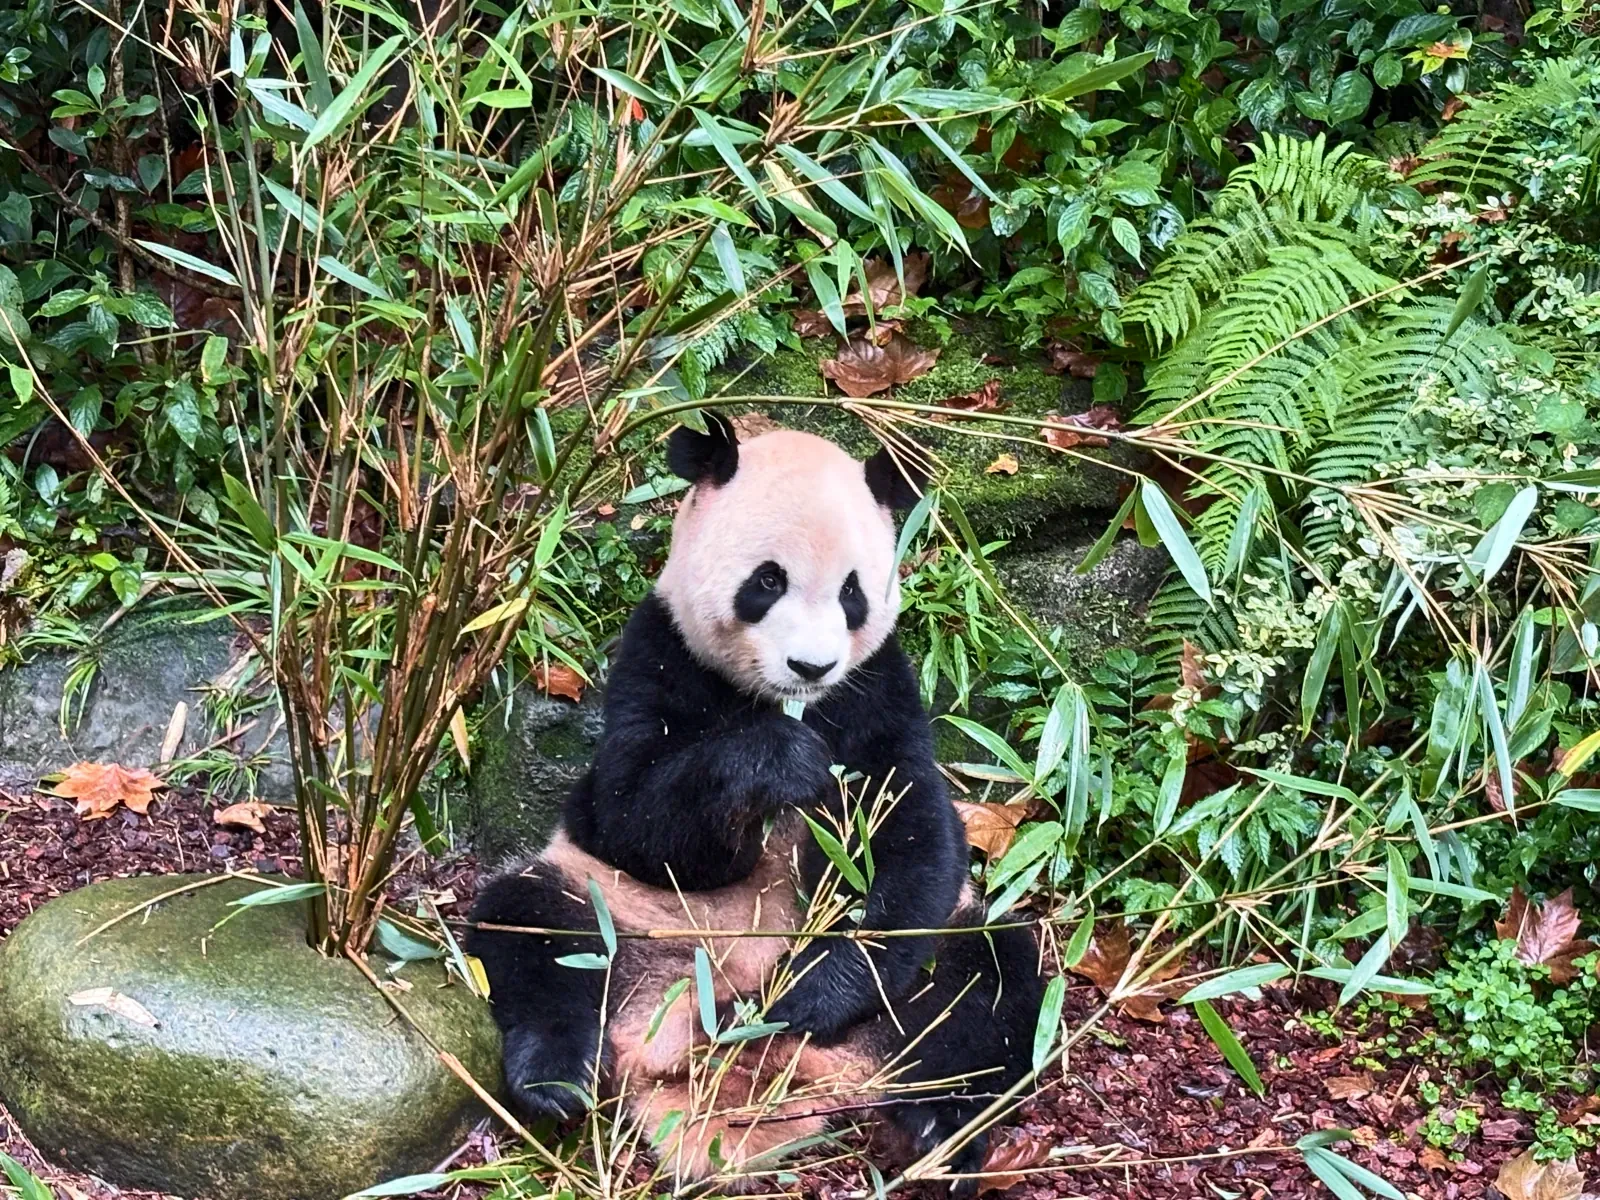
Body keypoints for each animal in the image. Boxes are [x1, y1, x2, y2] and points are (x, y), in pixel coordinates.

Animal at [467, 414, 1043, 1192]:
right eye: (768, 581)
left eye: (853, 592)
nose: (811, 666)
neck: (780, 700)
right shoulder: (657, 657)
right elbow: (631, 817)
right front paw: (778, 762)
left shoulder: (878, 691)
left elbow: (910, 837)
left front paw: (807, 991)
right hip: (617, 914)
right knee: (532, 929)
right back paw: (559, 1078)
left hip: (931, 975)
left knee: (989, 983)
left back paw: (932, 1129)